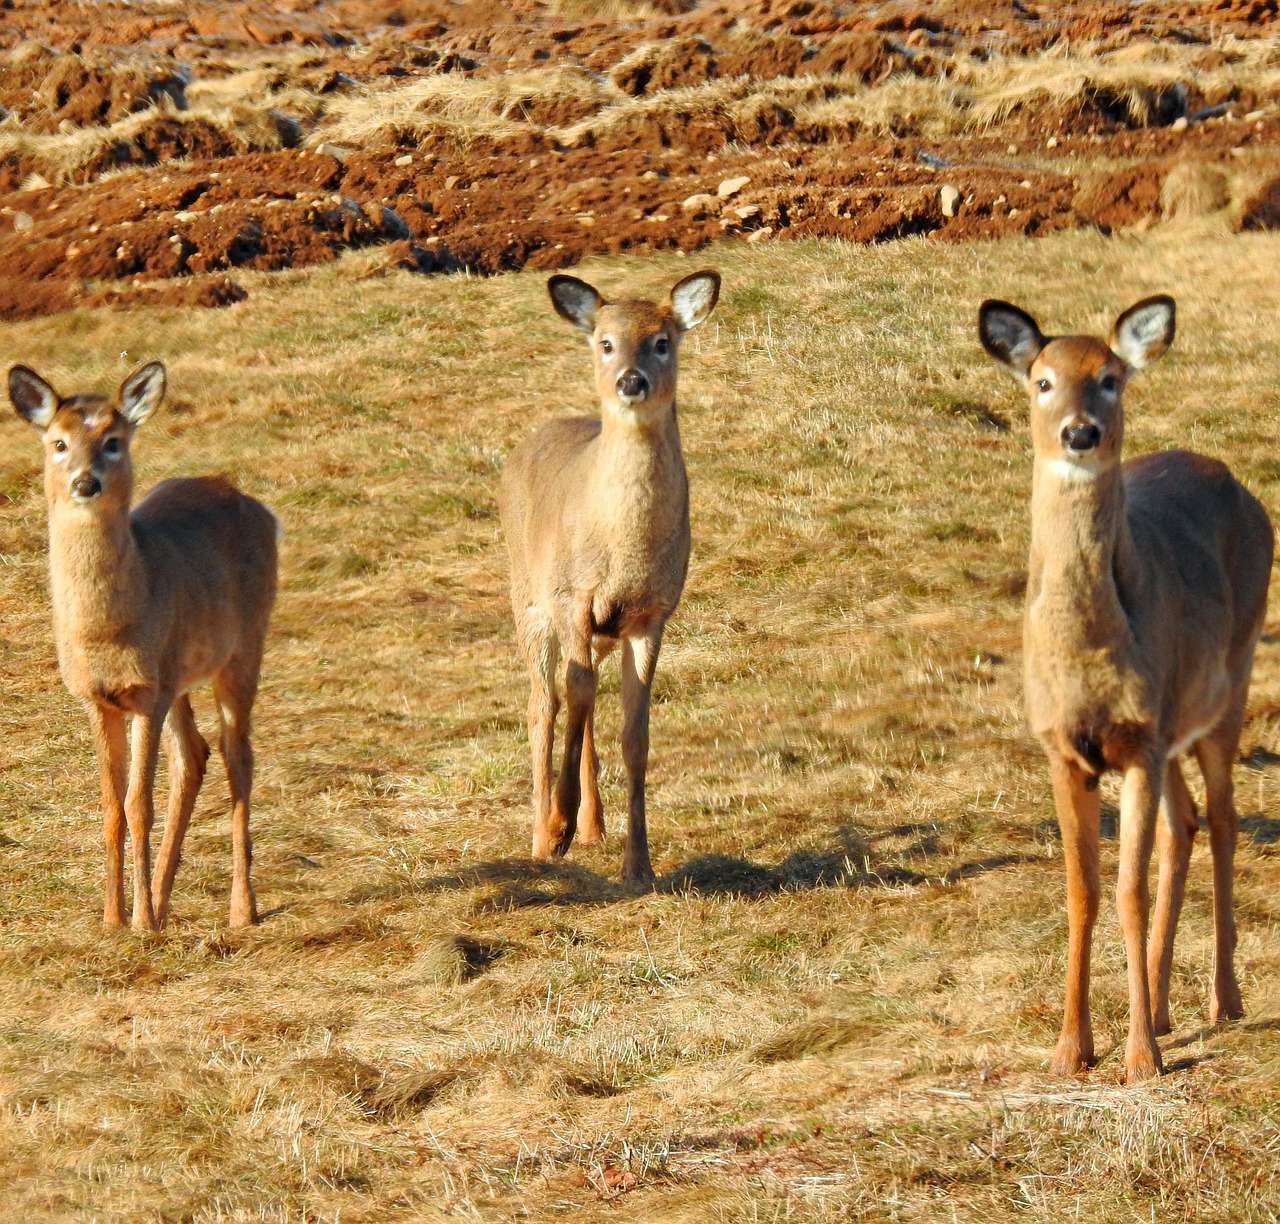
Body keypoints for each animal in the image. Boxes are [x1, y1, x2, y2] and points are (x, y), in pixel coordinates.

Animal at [9, 361, 280, 926]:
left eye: (113, 441)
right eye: (58, 442)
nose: (85, 482)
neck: (106, 632)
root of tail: (262, 510)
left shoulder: (147, 693)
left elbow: (139, 803)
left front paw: (140, 924)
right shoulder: (98, 697)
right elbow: (111, 804)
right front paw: (114, 919)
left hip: (243, 646)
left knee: (237, 755)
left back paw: (239, 910)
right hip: (181, 672)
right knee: (194, 756)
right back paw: (159, 896)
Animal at [496, 270, 721, 880]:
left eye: (662, 341)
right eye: (605, 342)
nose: (631, 380)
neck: (622, 549)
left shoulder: (652, 614)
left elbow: (635, 733)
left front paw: (638, 864)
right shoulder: (571, 596)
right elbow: (572, 696)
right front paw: (557, 829)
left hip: (595, 629)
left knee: (585, 700)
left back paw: (594, 828)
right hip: (528, 599)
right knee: (543, 705)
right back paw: (542, 837)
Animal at [977, 294, 1269, 1080]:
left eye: (1111, 378)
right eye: (1042, 381)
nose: (1081, 431)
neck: (1090, 652)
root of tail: (1234, 481)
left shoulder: (1139, 740)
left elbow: (1129, 892)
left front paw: (1139, 1058)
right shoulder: (1062, 748)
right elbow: (1083, 892)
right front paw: (1070, 1050)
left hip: (1228, 683)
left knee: (1222, 819)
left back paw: (1222, 999)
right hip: (1174, 730)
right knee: (1185, 821)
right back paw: (1165, 1007)